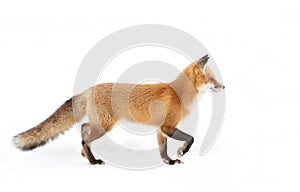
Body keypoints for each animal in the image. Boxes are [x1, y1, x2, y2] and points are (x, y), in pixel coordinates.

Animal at [14, 55, 225, 165]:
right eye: (212, 79)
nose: (223, 87)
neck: (179, 92)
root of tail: (89, 89)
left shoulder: (161, 128)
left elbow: (162, 149)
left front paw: (169, 161)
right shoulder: (168, 126)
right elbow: (191, 138)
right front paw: (180, 153)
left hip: (100, 123)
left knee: (83, 128)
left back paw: (86, 155)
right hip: (105, 126)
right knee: (84, 138)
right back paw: (92, 161)